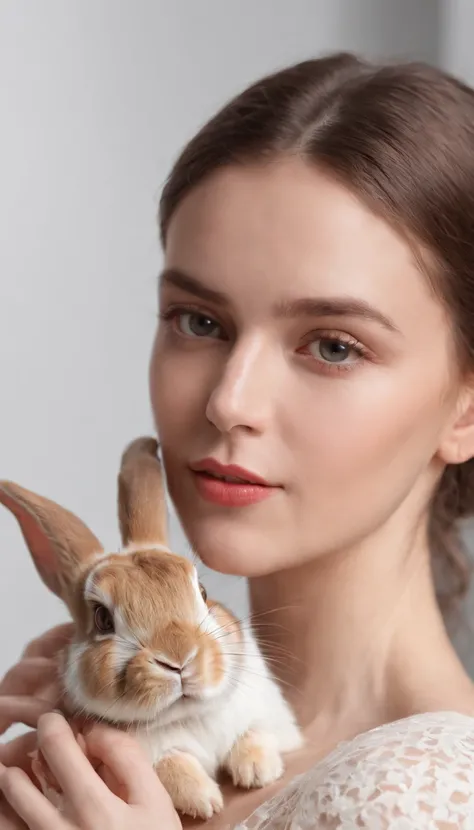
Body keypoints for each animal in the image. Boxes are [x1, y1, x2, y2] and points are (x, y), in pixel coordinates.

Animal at [0, 438, 302, 824]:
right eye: (102, 618)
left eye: (202, 592)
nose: (179, 659)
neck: (188, 716)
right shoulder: (148, 758)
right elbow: (171, 766)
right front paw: (204, 799)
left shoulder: (268, 715)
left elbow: (254, 732)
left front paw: (257, 771)